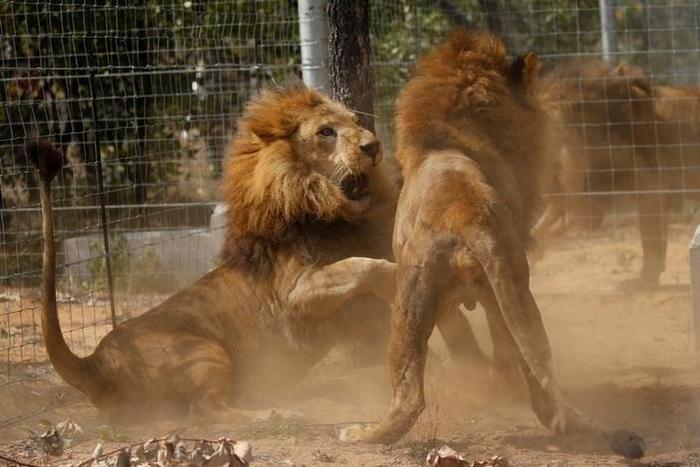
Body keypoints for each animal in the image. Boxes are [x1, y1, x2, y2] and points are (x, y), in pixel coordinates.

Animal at [30, 86, 400, 421]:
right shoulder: (295, 296)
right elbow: (360, 266)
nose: (374, 146)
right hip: (204, 350)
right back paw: (279, 414)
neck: (328, 208)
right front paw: (395, 278)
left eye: (355, 121)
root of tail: (93, 364)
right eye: (326, 132)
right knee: (207, 411)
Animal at [363, 30, 644, 459]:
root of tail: (466, 219)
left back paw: (363, 434)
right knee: (537, 380)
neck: (445, 141)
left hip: (410, 302)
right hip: (512, 288)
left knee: (411, 398)